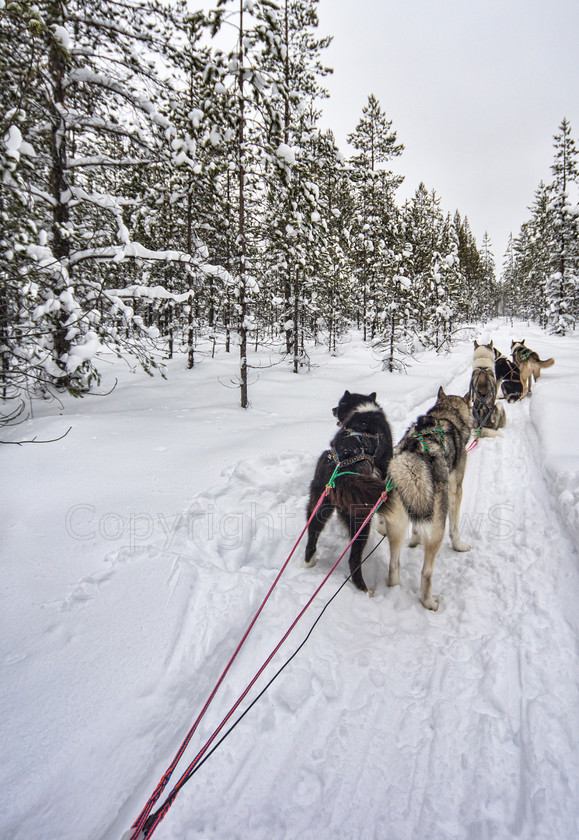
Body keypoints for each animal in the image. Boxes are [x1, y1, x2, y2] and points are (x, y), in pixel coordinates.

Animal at [304, 392, 394, 592]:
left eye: (339, 403)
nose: (333, 409)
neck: (363, 410)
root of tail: (340, 469)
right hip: (361, 521)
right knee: (354, 559)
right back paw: (363, 588)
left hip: (318, 506)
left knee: (312, 534)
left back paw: (308, 562)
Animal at [376, 388, 476, 612]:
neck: (445, 415)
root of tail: (410, 459)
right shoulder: (456, 490)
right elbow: (455, 528)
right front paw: (459, 546)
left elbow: (416, 528)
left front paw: (415, 540)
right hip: (437, 527)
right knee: (426, 572)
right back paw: (429, 602)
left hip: (397, 526)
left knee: (393, 565)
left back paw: (395, 587)